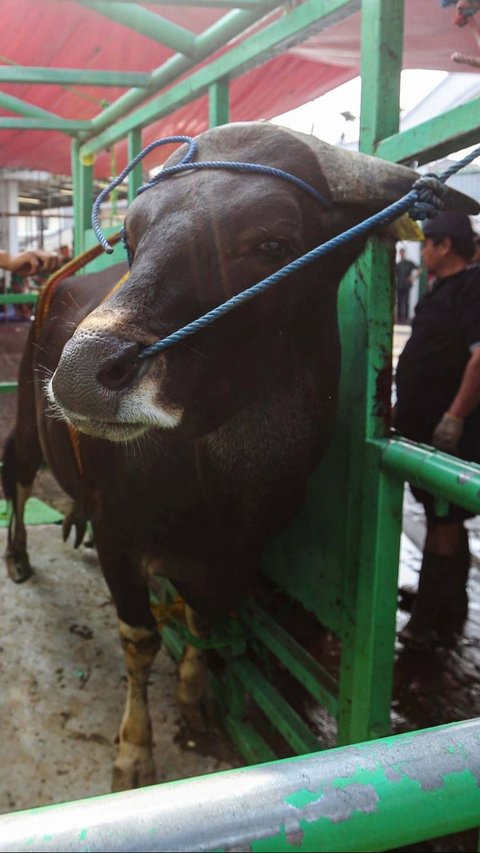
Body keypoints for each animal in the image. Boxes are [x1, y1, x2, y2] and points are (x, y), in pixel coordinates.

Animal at [2, 123, 476, 788]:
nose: (80, 374)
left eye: (273, 242)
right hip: (26, 419)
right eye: (132, 239)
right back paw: (19, 554)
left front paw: (195, 702)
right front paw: (134, 751)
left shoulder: (236, 557)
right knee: (18, 478)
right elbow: (140, 638)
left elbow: (203, 625)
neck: (218, 490)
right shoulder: (121, 536)